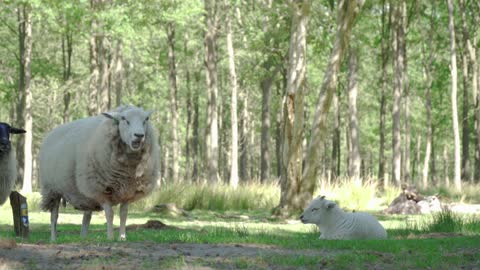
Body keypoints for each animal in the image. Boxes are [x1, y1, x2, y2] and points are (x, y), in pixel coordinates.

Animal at [39, 105, 159, 240]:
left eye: (146, 119)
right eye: (124, 119)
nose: (139, 135)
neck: (128, 172)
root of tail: (52, 133)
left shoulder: (128, 192)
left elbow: (123, 214)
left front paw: (122, 238)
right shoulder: (102, 190)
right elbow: (110, 214)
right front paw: (110, 238)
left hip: (84, 193)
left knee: (86, 217)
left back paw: (83, 238)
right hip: (52, 189)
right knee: (54, 216)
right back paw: (53, 238)